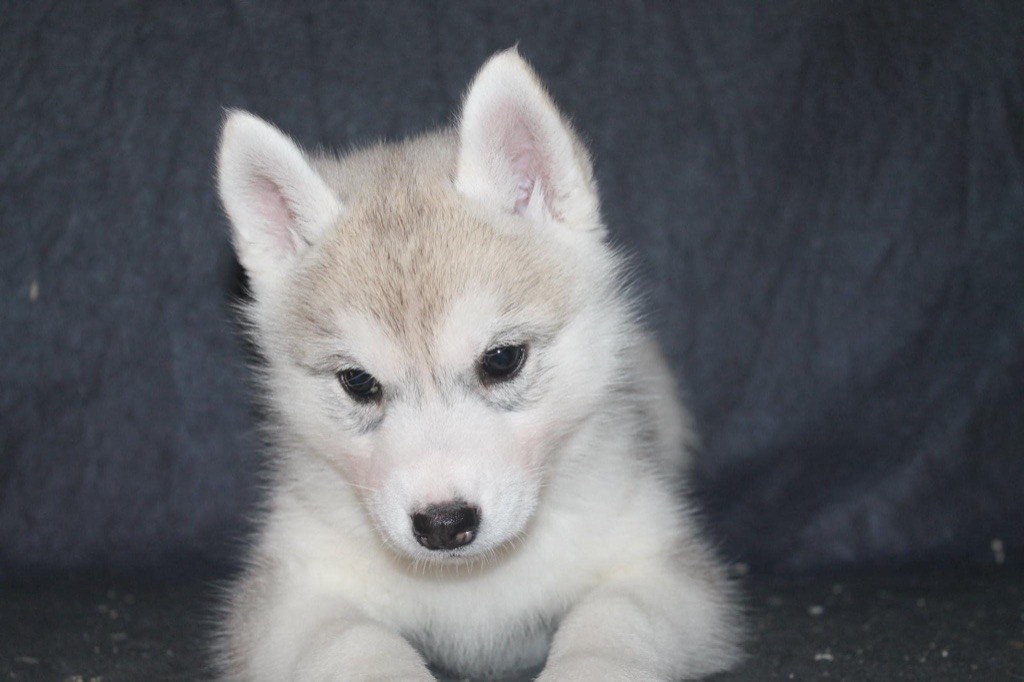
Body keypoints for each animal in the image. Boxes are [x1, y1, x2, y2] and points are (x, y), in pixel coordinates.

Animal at [216, 50, 745, 675]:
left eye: (501, 360)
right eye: (358, 382)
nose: (443, 525)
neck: (470, 583)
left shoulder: (668, 570)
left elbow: (612, 618)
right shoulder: (286, 596)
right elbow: (354, 642)